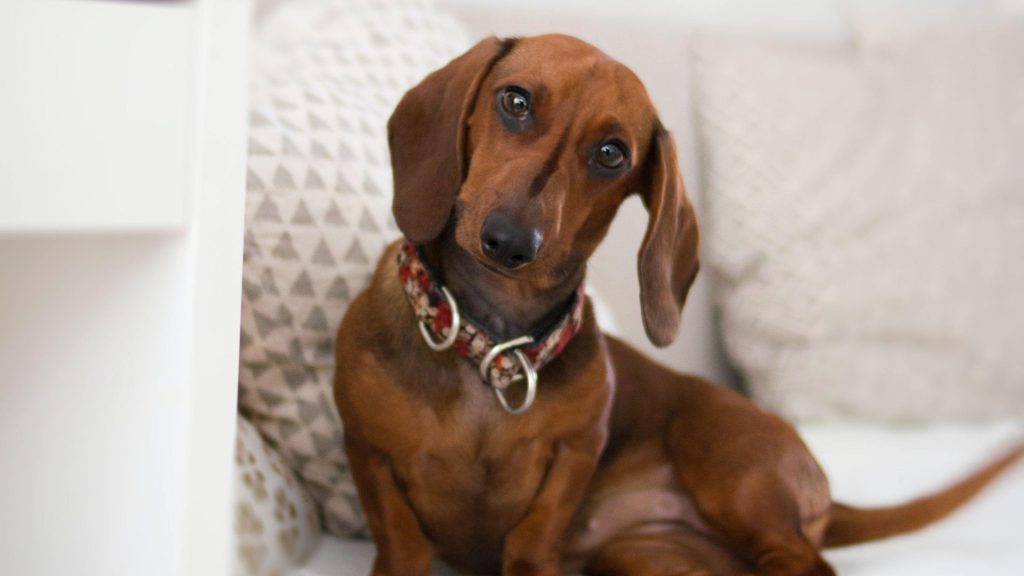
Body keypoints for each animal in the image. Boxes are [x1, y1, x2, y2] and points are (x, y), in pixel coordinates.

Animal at [331, 33, 1019, 569]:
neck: (494, 345)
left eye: (612, 153)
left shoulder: (574, 455)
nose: (510, 241)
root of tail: (821, 485)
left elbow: (531, 540)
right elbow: (401, 543)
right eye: (515, 101)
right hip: (647, 554)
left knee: (804, 560)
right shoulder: (368, 454)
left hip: (723, 459)